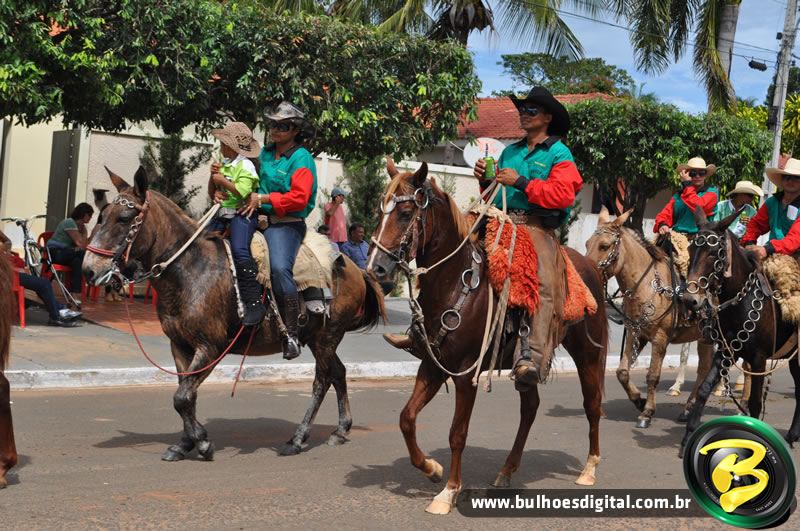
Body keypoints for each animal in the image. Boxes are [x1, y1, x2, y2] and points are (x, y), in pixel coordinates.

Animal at [82, 166, 385, 460]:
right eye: (101, 216)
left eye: (124, 218)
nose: (89, 269)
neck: (190, 269)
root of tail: (356, 269)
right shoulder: (179, 346)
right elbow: (186, 393)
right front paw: (185, 443)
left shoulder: (212, 346)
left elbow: (182, 397)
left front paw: (203, 443)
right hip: (318, 339)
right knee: (339, 372)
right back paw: (340, 430)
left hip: (326, 338)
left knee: (321, 381)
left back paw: (298, 439)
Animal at [367, 162, 608, 514]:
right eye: (379, 210)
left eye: (406, 212)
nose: (376, 269)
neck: (455, 282)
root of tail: (589, 265)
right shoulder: (433, 365)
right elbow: (406, 418)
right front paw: (431, 468)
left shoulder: (465, 374)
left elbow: (458, 433)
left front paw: (449, 492)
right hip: (528, 367)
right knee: (530, 408)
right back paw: (506, 472)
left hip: (588, 354)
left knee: (592, 405)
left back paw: (590, 469)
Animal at [585, 208, 714, 428]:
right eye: (587, 244)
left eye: (604, 246)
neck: (647, 284)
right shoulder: (636, 333)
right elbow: (622, 372)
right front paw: (638, 400)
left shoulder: (660, 339)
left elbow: (653, 376)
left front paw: (647, 412)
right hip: (704, 337)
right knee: (704, 369)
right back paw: (688, 410)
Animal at [679, 207, 800, 456]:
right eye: (691, 249)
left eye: (713, 253)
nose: (689, 300)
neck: (741, 300)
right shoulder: (726, 351)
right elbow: (704, 388)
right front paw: (688, 435)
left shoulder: (759, 359)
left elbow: (755, 402)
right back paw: (793, 435)